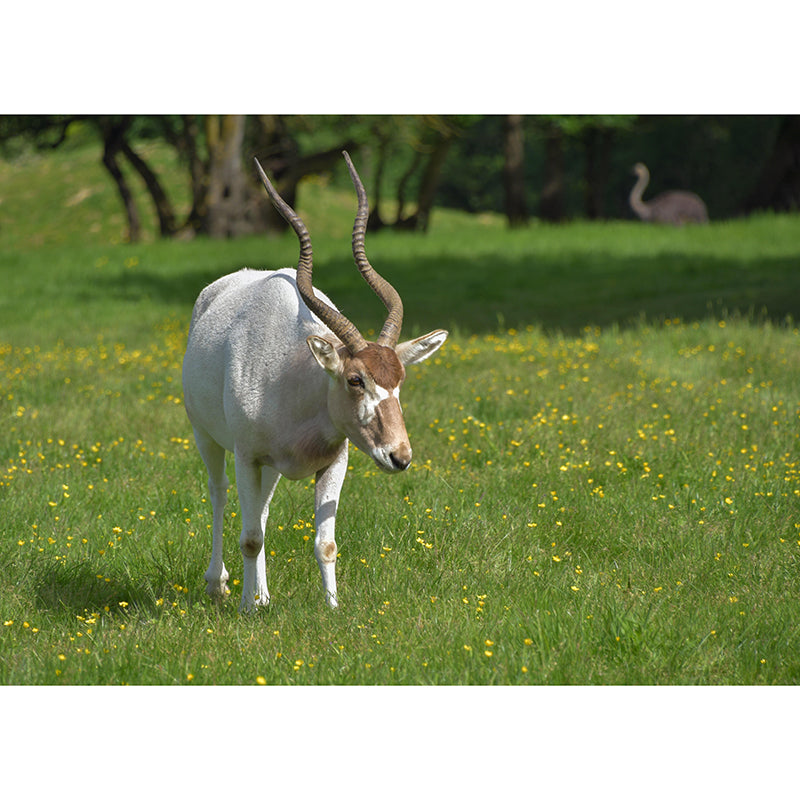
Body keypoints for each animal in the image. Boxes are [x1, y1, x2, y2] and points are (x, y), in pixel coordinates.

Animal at [182, 152, 448, 610]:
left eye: (400, 380)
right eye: (356, 380)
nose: (399, 456)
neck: (293, 378)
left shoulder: (334, 461)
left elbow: (325, 543)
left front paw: (332, 607)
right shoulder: (246, 456)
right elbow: (249, 537)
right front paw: (246, 609)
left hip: (267, 466)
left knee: (262, 509)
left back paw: (263, 594)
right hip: (209, 438)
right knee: (219, 493)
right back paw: (220, 584)